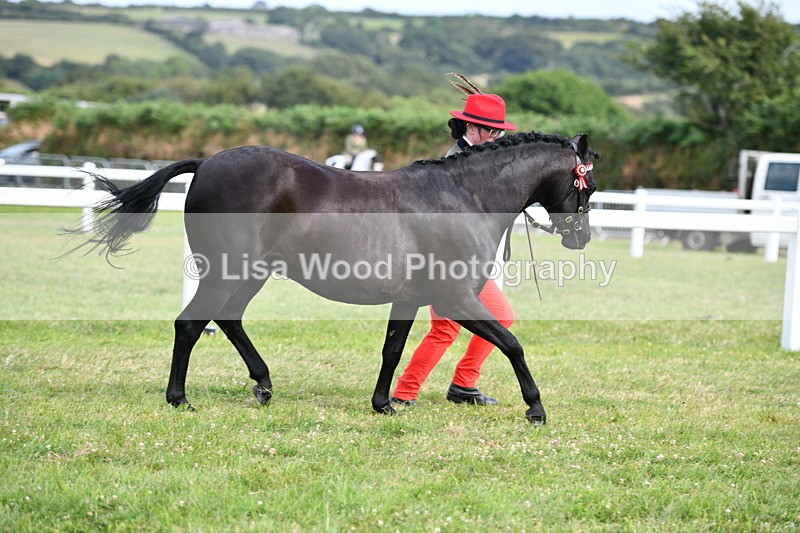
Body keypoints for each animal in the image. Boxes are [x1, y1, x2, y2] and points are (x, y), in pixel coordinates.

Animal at [74, 131, 598, 424]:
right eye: (587, 182)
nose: (582, 238)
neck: (464, 197)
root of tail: (205, 162)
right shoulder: (455, 298)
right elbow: (512, 344)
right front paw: (536, 409)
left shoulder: (409, 298)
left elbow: (392, 349)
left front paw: (384, 405)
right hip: (226, 270)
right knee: (190, 325)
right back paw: (179, 399)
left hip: (251, 273)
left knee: (228, 320)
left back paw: (263, 385)